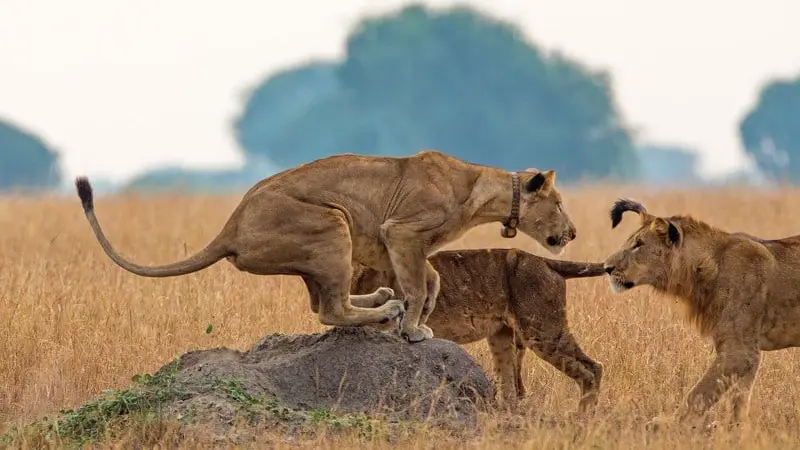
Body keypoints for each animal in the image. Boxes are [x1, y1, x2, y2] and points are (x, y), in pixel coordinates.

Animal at [74, 150, 577, 343]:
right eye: (559, 203)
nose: (572, 233)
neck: (482, 192)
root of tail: (231, 225)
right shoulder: (401, 231)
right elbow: (417, 285)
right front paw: (415, 327)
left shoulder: (389, 243)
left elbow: (429, 279)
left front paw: (421, 315)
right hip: (332, 223)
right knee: (329, 311)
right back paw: (386, 309)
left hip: (330, 245)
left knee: (324, 303)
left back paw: (380, 301)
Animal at [350, 248, 605, 411]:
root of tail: (543, 260)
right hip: (501, 336)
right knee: (510, 386)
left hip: (543, 329)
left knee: (593, 369)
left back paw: (582, 418)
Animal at [603, 198, 800, 429]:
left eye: (639, 245)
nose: (606, 267)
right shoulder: (748, 349)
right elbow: (739, 400)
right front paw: (737, 430)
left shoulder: (739, 351)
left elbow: (697, 395)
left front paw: (667, 425)